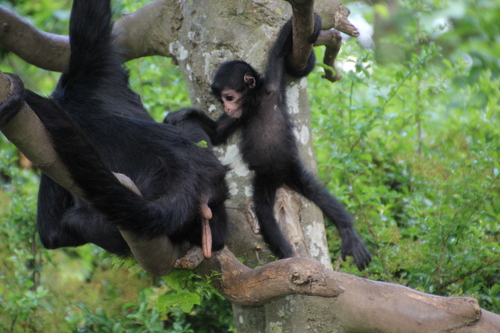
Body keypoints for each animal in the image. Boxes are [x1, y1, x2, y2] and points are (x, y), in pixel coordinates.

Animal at [211, 13, 372, 270]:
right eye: (221, 100)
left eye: (228, 97)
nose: (226, 107)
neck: (255, 104)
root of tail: (279, 177)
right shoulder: (240, 116)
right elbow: (216, 134)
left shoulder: (273, 88)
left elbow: (278, 52)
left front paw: (316, 20)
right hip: (265, 178)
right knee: (264, 211)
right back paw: (287, 254)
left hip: (291, 169)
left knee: (314, 191)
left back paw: (347, 232)